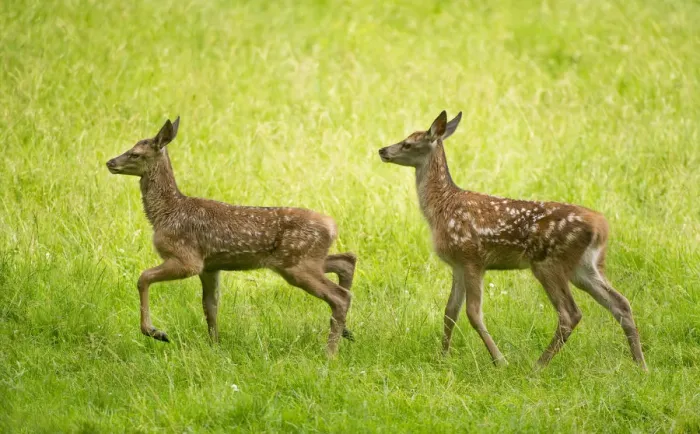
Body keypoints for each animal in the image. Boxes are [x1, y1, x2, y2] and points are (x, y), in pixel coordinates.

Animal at [106, 117, 356, 355]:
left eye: (135, 153)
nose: (110, 162)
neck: (166, 212)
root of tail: (332, 226)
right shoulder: (210, 266)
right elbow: (210, 306)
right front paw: (215, 346)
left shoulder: (188, 259)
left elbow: (143, 277)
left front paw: (155, 331)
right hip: (303, 260)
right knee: (347, 261)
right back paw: (346, 332)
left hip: (297, 264)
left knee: (340, 296)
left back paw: (330, 353)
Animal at [378, 111, 647, 370]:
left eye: (408, 143)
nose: (383, 150)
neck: (441, 207)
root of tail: (601, 226)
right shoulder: (457, 264)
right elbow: (450, 311)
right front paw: (443, 356)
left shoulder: (472, 258)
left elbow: (473, 313)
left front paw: (500, 361)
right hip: (585, 267)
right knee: (620, 304)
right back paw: (641, 366)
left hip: (549, 263)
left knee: (570, 314)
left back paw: (537, 367)